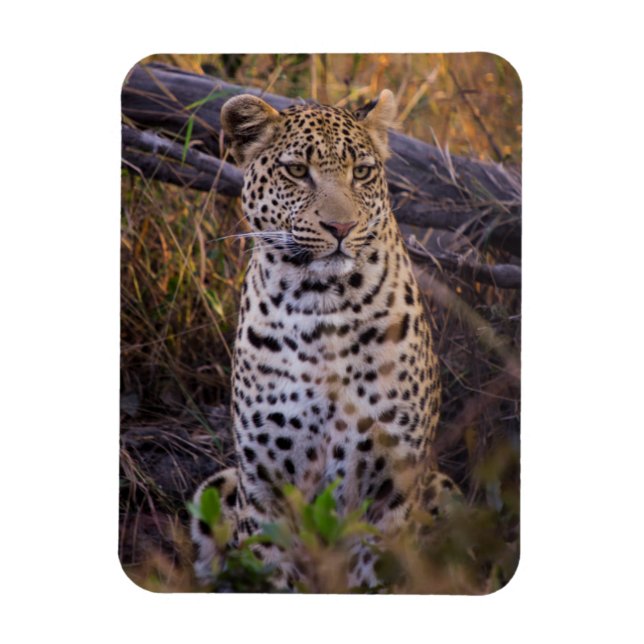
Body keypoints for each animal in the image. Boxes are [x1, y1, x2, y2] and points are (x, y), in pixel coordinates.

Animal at [191, 89, 458, 591]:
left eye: (362, 172)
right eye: (297, 171)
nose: (341, 228)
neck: (323, 307)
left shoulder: (393, 491)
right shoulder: (266, 489)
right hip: (220, 485)